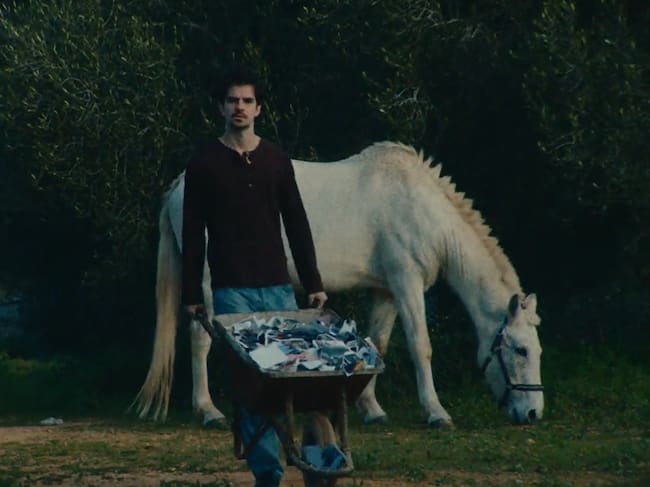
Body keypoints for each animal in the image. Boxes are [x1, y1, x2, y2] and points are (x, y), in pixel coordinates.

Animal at [132, 141, 544, 428]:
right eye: (521, 350)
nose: (533, 413)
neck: (421, 209)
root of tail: (181, 185)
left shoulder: (386, 291)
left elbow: (377, 344)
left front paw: (372, 409)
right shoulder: (407, 282)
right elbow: (420, 347)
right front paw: (436, 412)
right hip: (204, 285)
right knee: (200, 341)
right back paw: (209, 411)